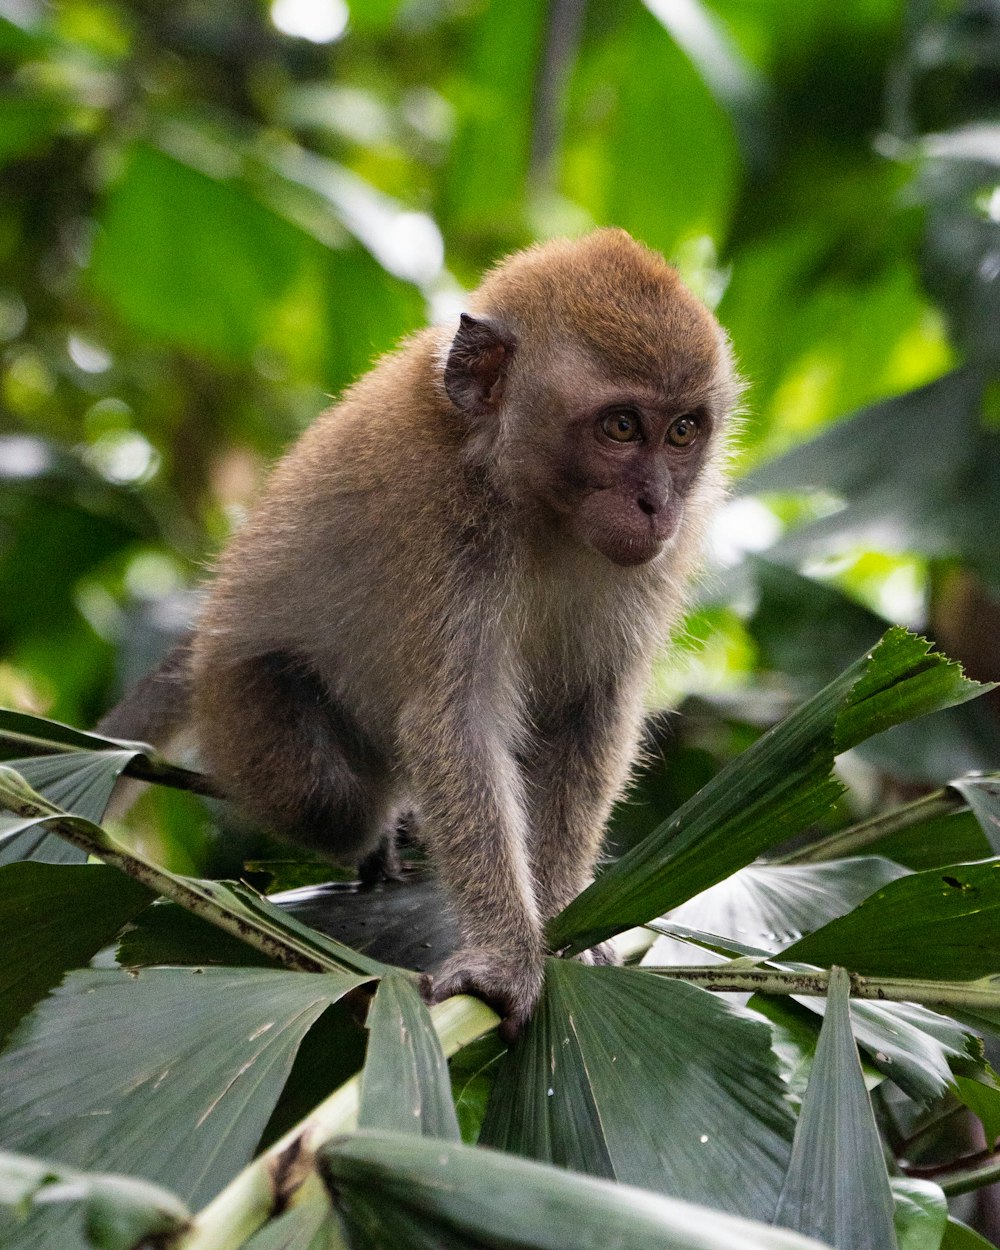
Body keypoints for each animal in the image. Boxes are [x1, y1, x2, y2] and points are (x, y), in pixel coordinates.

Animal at [97, 232, 740, 1035]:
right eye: (621, 427)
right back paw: (378, 821)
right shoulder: (447, 532)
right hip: (240, 697)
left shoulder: (652, 566)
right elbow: (454, 722)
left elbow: (586, 718)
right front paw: (505, 957)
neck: (537, 507)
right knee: (322, 797)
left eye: (684, 431)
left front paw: (564, 922)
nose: (656, 503)